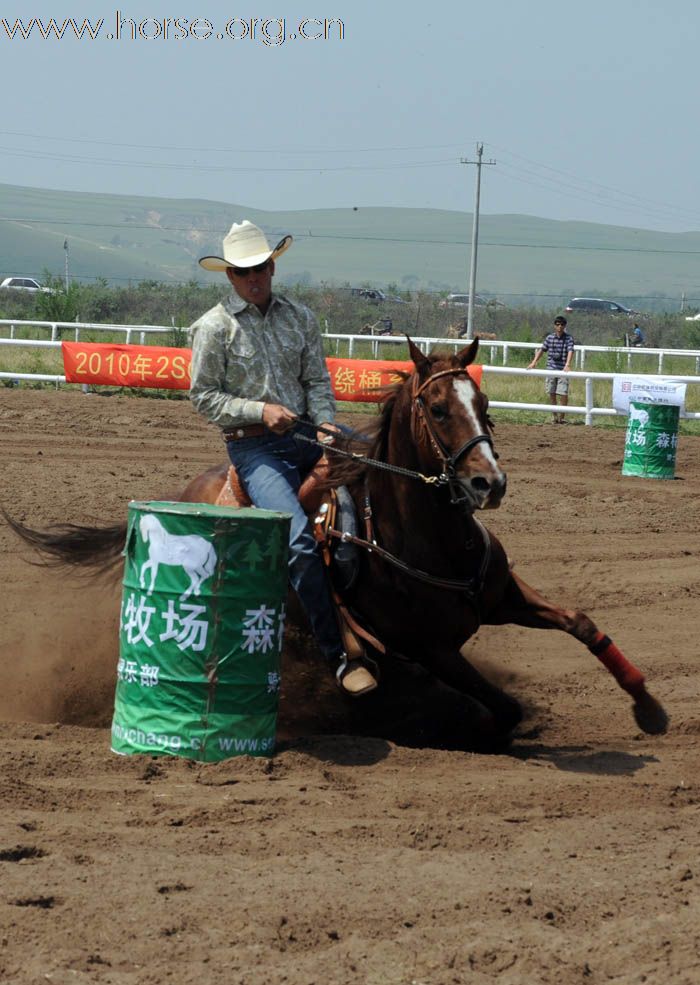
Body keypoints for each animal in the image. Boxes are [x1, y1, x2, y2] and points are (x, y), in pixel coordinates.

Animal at [2, 338, 668, 736]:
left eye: (482, 400)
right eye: (437, 408)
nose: (489, 483)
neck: (427, 540)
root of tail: (191, 487)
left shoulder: (502, 596)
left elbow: (583, 623)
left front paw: (648, 706)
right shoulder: (433, 649)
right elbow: (502, 706)